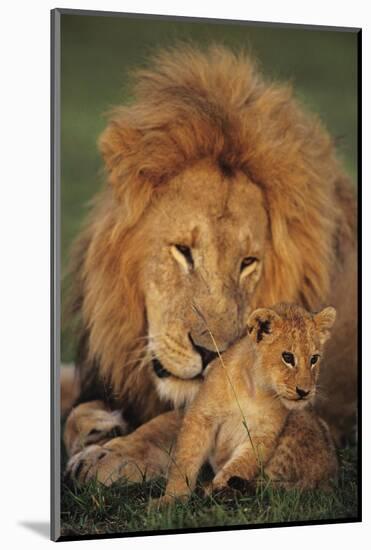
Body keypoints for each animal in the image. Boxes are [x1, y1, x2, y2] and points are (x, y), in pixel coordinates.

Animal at [64, 47, 358, 488]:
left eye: (248, 263)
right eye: (183, 251)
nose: (209, 355)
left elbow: (179, 422)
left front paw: (110, 453)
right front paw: (98, 422)